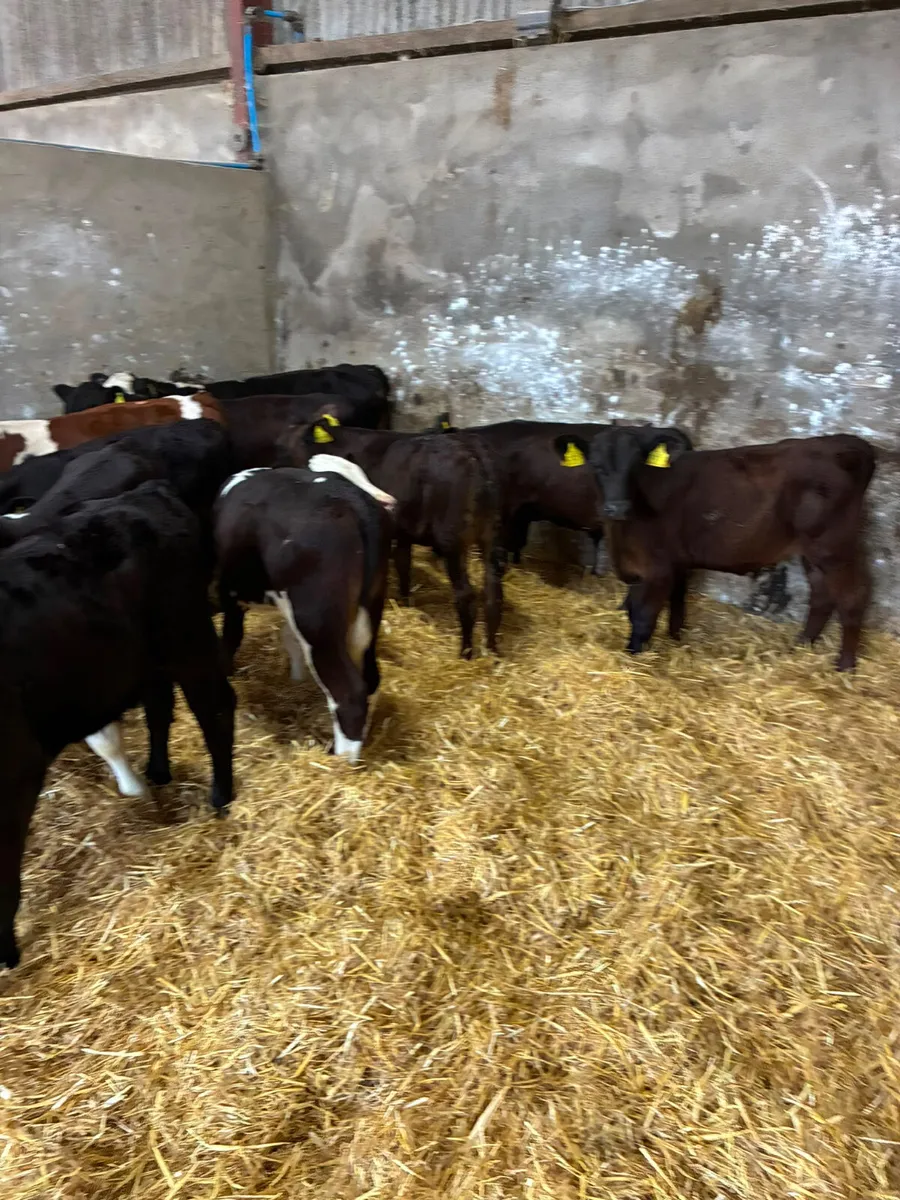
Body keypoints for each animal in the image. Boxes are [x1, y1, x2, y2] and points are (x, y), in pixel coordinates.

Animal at [0, 481, 236, 968]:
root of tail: (142, 493)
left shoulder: (16, 772)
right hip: (144, 659)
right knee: (160, 705)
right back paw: (157, 773)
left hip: (187, 639)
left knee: (216, 710)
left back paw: (221, 796)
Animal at [214, 455, 394, 763]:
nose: (389, 501)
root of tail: (352, 501)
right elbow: (289, 640)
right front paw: (296, 680)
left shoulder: (231, 595)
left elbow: (230, 638)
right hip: (368, 612)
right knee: (370, 679)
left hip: (318, 623)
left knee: (349, 693)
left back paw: (341, 762)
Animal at [280, 420, 504, 658]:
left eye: (300, 443)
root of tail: (472, 450)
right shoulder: (404, 531)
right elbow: (403, 564)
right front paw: (406, 602)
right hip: (492, 536)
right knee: (493, 593)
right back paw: (492, 651)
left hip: (453, 542)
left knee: (466, 595)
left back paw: (466, 652)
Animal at [557, 426, 875, 671]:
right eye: (596, 464)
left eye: (635, 465)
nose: (616, 507)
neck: (622, 535)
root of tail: (840, 442)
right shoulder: (649, 567)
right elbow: (647, 608)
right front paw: (671, 638)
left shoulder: (658, 568)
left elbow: (644, 617)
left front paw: (634, 658)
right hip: (813, 551)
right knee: (821, 595)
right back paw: (801, 645)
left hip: (835, 546)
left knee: (852, 598)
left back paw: (845, 666)